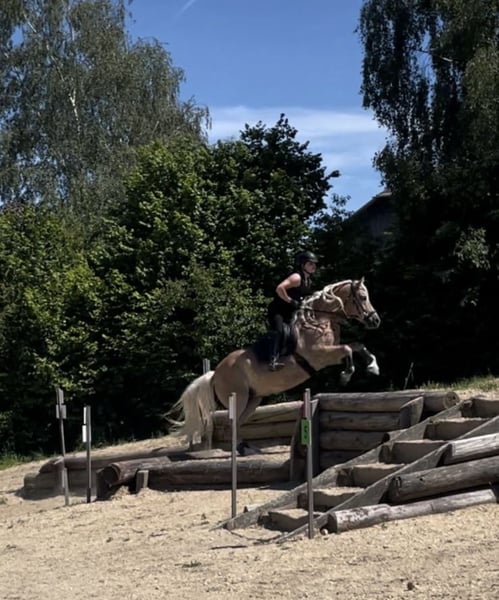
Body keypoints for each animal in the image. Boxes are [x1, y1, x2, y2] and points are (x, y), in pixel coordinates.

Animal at [169, 278, 381, 455]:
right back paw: (240, 450)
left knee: (237, 424)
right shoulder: (320, 355)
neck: (319, 321)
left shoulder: (330, 354)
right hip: (239, 398)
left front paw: (373, 367)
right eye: (363, 297)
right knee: (232, 424)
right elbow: (348, 348)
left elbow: (357, 345)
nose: (375, 320)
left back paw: (246, 449)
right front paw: (347, 374)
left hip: (253, 399)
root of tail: (215, 374)